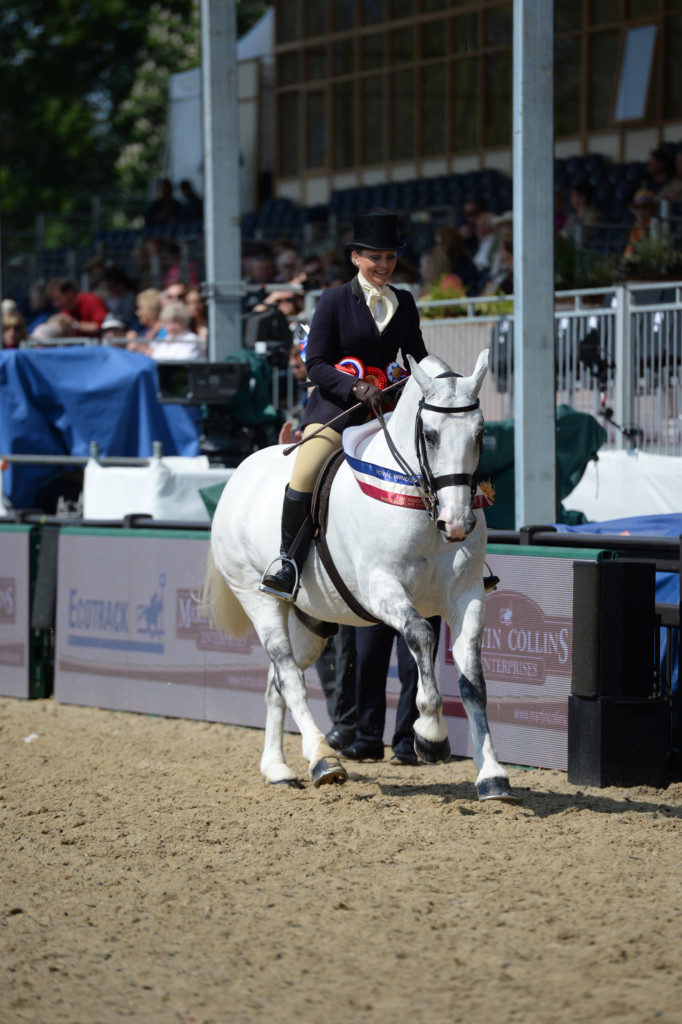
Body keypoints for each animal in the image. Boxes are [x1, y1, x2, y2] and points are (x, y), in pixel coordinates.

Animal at [200, 352, 509, 798]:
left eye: (481, 432)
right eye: (430, 435)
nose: (457, 524)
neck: (419, 501)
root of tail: (239, 473)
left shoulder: (466, 595)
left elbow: (473, 681)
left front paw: (492, 774)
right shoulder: (382, 589)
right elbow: (420, 635)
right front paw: (431, 735)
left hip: (311, 622)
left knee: (277, 683)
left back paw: (277, 767)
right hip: (258, 600)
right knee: (289, 676)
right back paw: (322, 759)